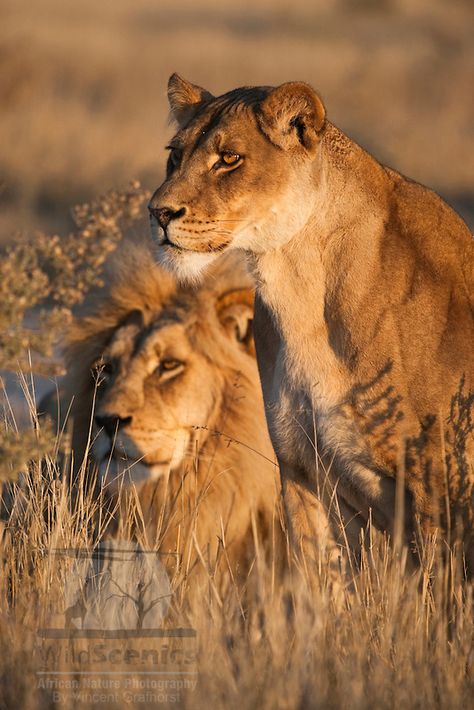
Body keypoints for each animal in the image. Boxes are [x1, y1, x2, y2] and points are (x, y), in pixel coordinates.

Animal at [148, 75, 474, 576]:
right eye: (174, 155)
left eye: (229, 159)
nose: (159, 212)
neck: (298, 286)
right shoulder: (302, 470)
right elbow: (319, 582)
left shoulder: (434, 485)